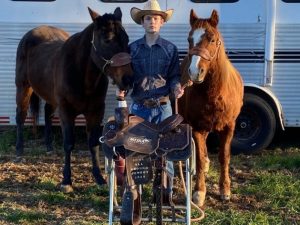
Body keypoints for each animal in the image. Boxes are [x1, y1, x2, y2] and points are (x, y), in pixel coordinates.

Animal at [14, 7, 132, 192]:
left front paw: (99, 178)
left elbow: (93, 143)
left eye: (126, 38)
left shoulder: (96, 111)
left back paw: (49, 147)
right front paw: (66, 181)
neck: (83, 76)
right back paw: (19, 150)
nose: (128, 79)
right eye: (107, 40)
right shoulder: (66, 110)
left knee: (47, 114)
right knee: (21, 115)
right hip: (23, 87)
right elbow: (69, 143)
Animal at [178, 9, 244, 207]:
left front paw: (225, 190)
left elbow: (224, 157)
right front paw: (199, 192)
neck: (215, 92)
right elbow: (199, 157)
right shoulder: (197, 127)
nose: (194, 72)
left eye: (213, 39)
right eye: (189, 39)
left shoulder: (229, 127)